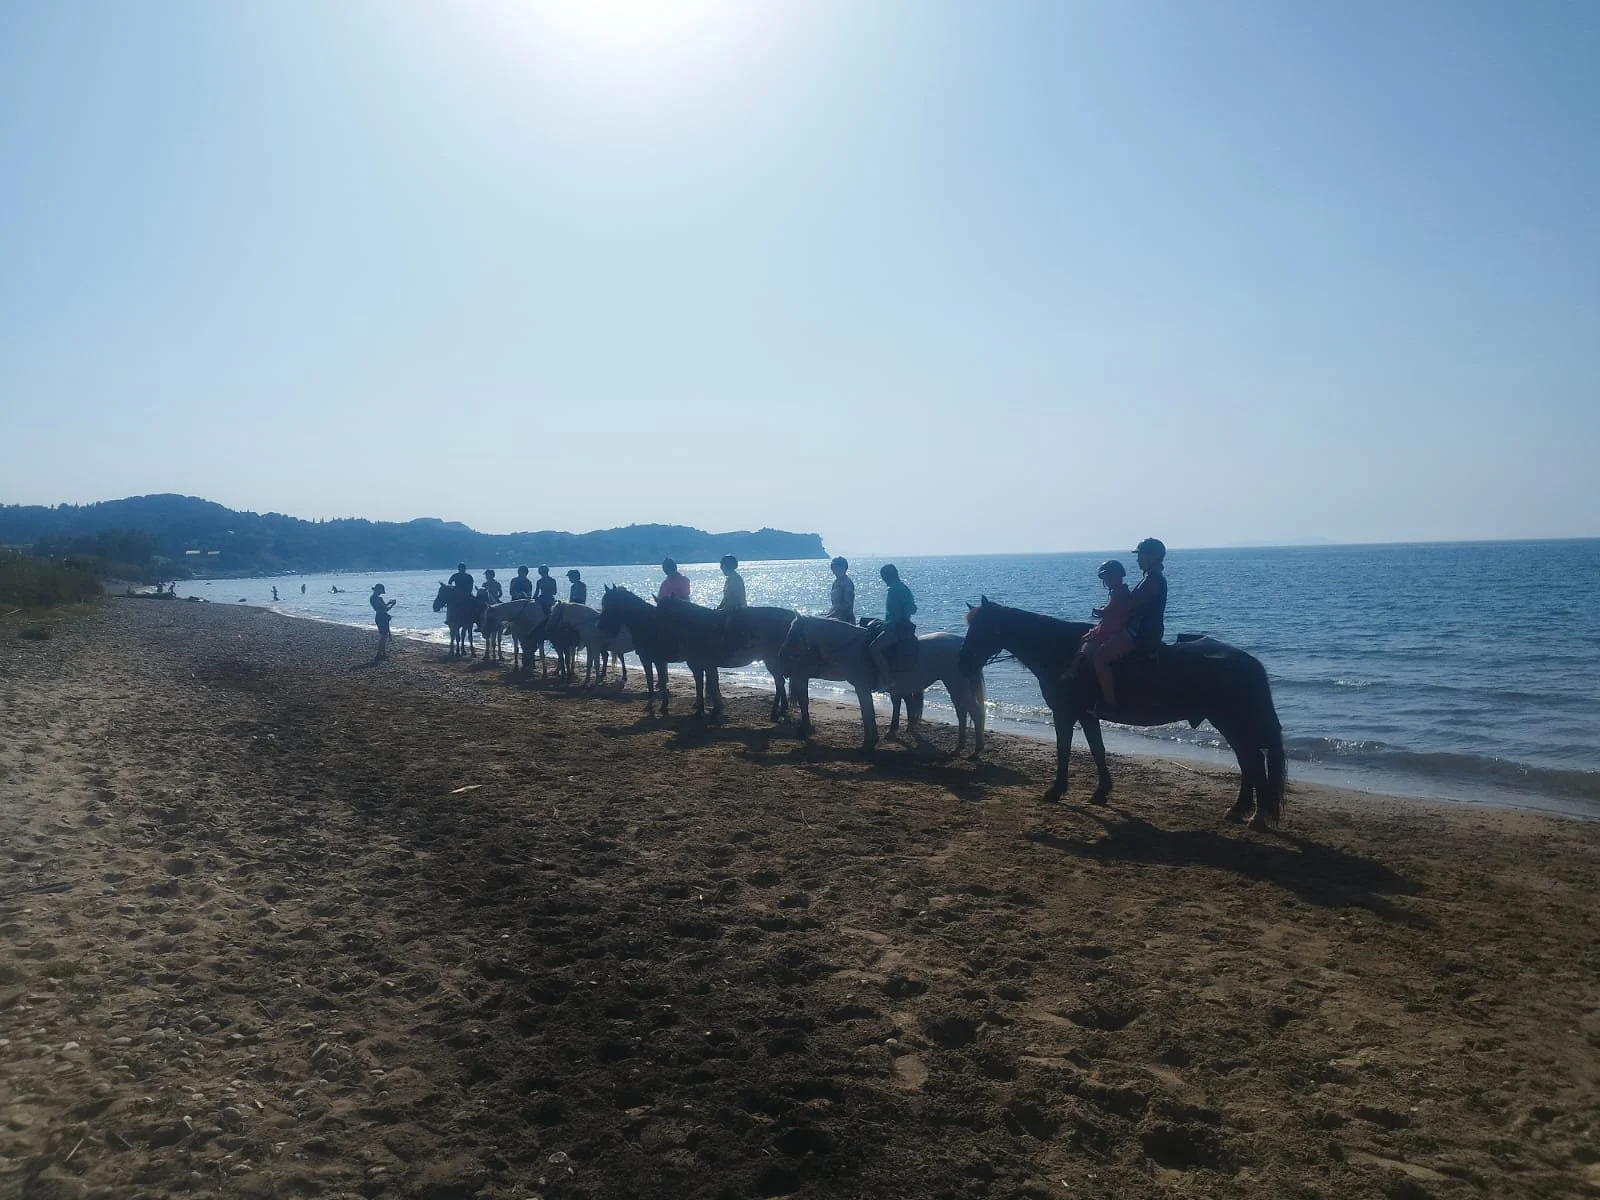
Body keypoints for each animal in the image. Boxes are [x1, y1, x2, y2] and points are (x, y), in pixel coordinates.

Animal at [598, 587, 793, 720]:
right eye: (603, 604)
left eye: (611, 605)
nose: (600, 627)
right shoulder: (691, 663)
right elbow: (700, 684)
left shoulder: (657, 660)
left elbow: (659, 682)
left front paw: (660, 706)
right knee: (779, 683)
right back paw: (779, 712)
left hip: (771, 659)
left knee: (779, 682)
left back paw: (778, 712)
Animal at [777, 616, 987, 755]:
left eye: (793, 633)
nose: (781, 655)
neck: (851, 647)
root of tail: (962, 644)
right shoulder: (862, 689)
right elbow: (867, 713)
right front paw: (871, 740)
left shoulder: (862, 688)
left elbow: (867, 712)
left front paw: (869, 742)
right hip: (955, 686)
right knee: (963, 712)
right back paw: (960, 748)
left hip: (956, 685)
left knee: (974, 712)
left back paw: (975, 751)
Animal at [957, 597, 1286, 827]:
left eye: (982, 628)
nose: (963, 661)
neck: (1062, 651)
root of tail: (1249, 662)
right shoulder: (1087, 716)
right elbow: (1097, 751)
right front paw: (1101, 792)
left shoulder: (1065, 714)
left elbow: (1064, 750)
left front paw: (1056, 790)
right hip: (1231, 724)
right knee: (1248, 762)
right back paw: (1240, 809)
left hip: (1231, 721)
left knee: (1252, 762)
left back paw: (1255, 815)